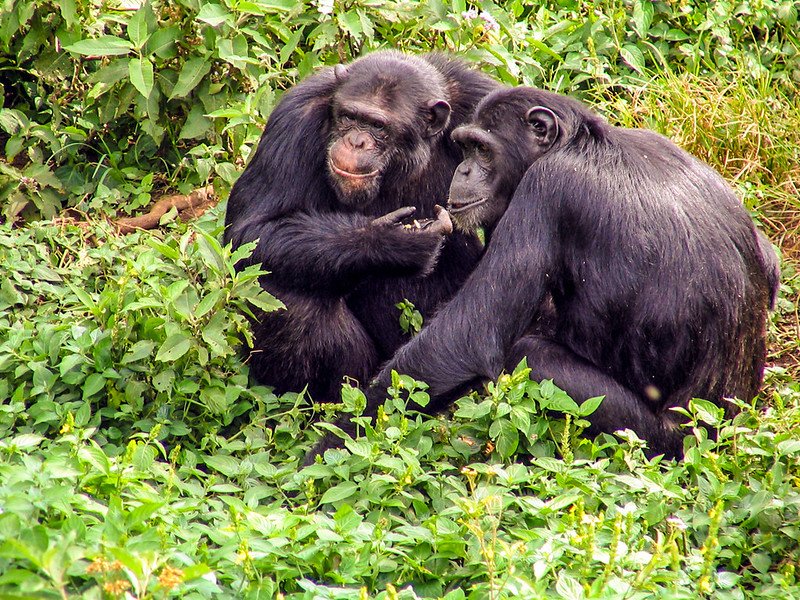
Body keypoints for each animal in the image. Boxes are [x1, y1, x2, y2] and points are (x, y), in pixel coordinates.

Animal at [222, 52, 496, 408]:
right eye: (349, 117)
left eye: (378, 126)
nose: (356, 141)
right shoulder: (293, 120)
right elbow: (250, 231)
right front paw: (391, 242)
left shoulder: (484, 102)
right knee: (281, 293)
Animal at [308, 85, 780, 460]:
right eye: (463, 147)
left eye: (481, 148)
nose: (462, 169)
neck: (580, 143)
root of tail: (724, 435)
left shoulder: (545, 190)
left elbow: (466, 336)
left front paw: (329, 455)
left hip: (653, 440)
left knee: (531, 354)